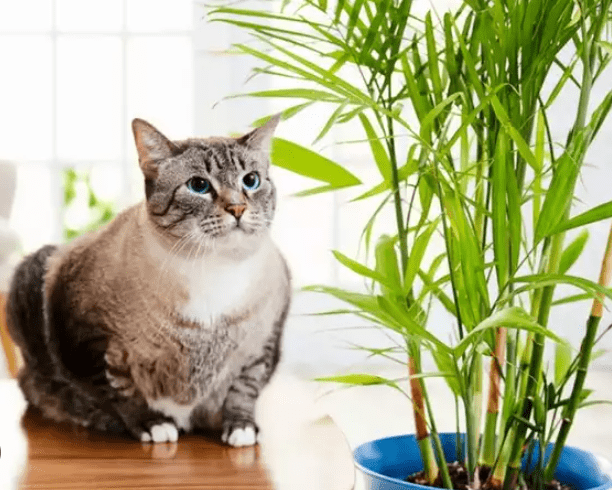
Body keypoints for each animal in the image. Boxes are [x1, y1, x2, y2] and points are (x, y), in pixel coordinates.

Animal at [4, 117, 292, 446]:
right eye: (199, 186)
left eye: (251, 180)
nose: (238, 209)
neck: (215, 268)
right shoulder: (91, 337)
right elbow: (120, 390)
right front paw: (153, 424)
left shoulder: (262, 345)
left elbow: (244, 390)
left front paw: (241, 428)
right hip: (30, 275)